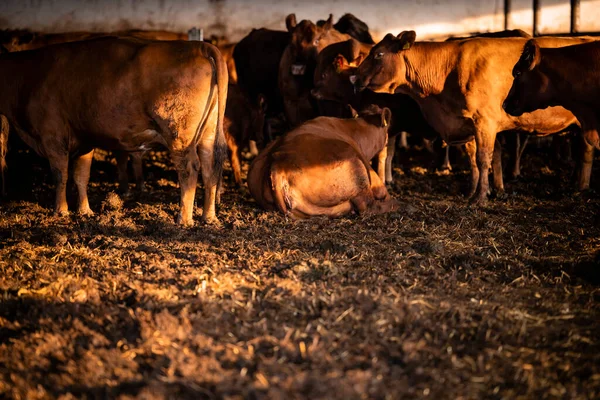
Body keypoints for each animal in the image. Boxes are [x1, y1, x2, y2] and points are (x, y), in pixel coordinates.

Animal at [0, 37, 229, 225]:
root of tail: (198, 46)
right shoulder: (85, 140)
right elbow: (81, 175)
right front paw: (85, 211)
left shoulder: (52, 135)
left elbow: (60, 174)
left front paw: (61, 211)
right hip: (208, 133)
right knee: (210, 168)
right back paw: (209, 217)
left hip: (179, 135)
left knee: (189, 169)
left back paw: (184, 219)